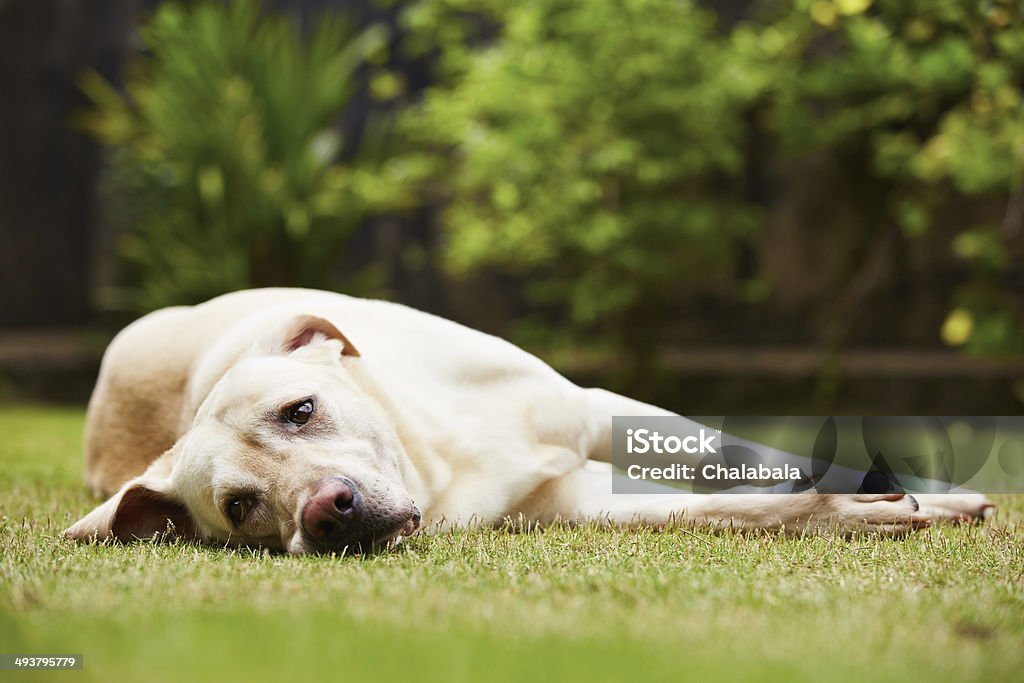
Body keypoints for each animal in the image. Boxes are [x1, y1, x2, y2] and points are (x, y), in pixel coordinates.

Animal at [61, 286, 991, 552]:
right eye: (242, 506)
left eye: (300, 410)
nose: (327, 513)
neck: (439, 460)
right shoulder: (579, 501)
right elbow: (743, 507)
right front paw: (858, 512)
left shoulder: (597, 410)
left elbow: (750, 457)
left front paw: (906, 487)